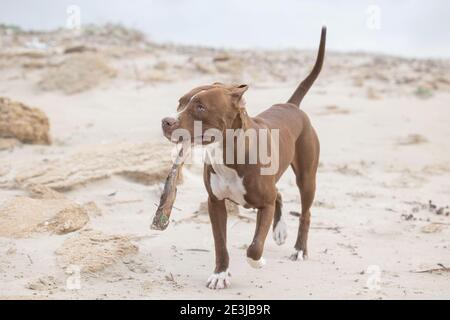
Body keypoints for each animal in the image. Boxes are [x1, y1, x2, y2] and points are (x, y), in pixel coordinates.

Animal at [162, 26, 326, 288]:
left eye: (200, 107)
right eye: (180, 102)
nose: (166, 122)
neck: (228, 151)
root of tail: (291, 106)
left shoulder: (265, 205)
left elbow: (255, 247)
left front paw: (258, 262)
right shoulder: (215, 203)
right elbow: (220, 244)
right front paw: (220, 274)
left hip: (307, 177)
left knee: (305, 212)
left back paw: (299, 249)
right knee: (279, 194)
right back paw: (280, 230)